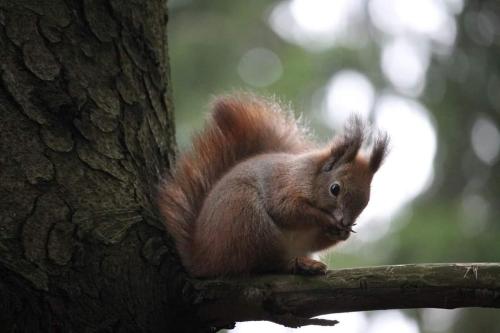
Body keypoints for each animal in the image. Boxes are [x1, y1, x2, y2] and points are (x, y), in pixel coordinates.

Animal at [158, 94, 388, 278]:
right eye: (335, 189)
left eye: (366, 202)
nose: (345, 221)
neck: (310, 176)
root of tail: (203, 259)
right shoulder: (283, 185)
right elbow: (287, 210)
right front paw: (327, 220)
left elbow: (318, 240)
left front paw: (344, 233)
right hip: (248, 222)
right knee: (267, 264)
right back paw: (302, 265)